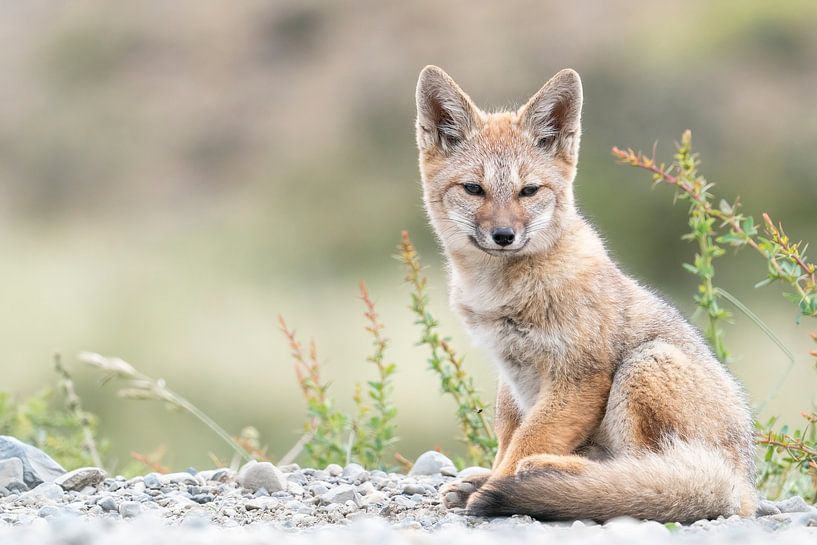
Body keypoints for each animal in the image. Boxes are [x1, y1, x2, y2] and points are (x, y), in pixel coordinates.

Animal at [414, 65, 757, 523]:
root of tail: (742, 487)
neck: (501, 293)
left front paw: (495, 484)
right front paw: (487, 476)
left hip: (645, 364)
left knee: (638, 469)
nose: (504, 235)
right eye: (473, 189)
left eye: (528, 191)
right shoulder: (511, 372)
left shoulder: (579, 376)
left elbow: (528, 439)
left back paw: (540, 473)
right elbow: (509, 434)